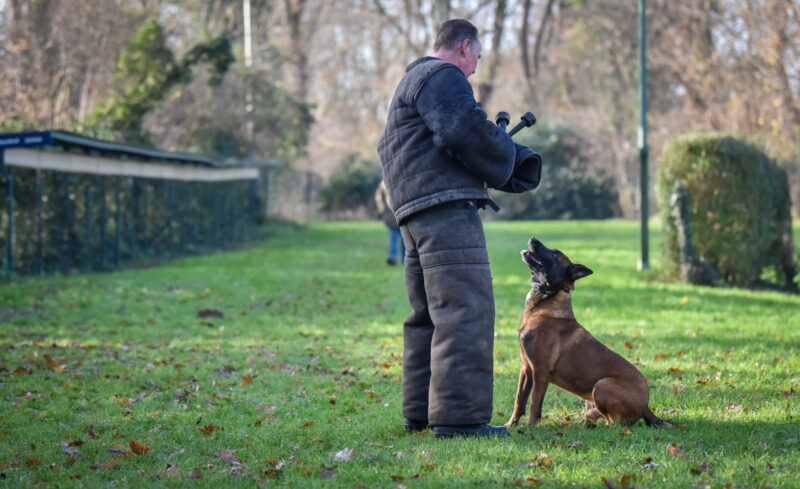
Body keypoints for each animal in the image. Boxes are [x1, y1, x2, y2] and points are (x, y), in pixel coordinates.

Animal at [505, 237, 672, 428]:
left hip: (600, 385)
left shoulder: (540, 371)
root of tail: (646, 406)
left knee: (614, 423)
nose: (533, 238)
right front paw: (510, 425)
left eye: (555, 254)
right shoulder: (526, 369)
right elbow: (519, 401)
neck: (546, 299)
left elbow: (534, 404)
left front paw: (529, 428)